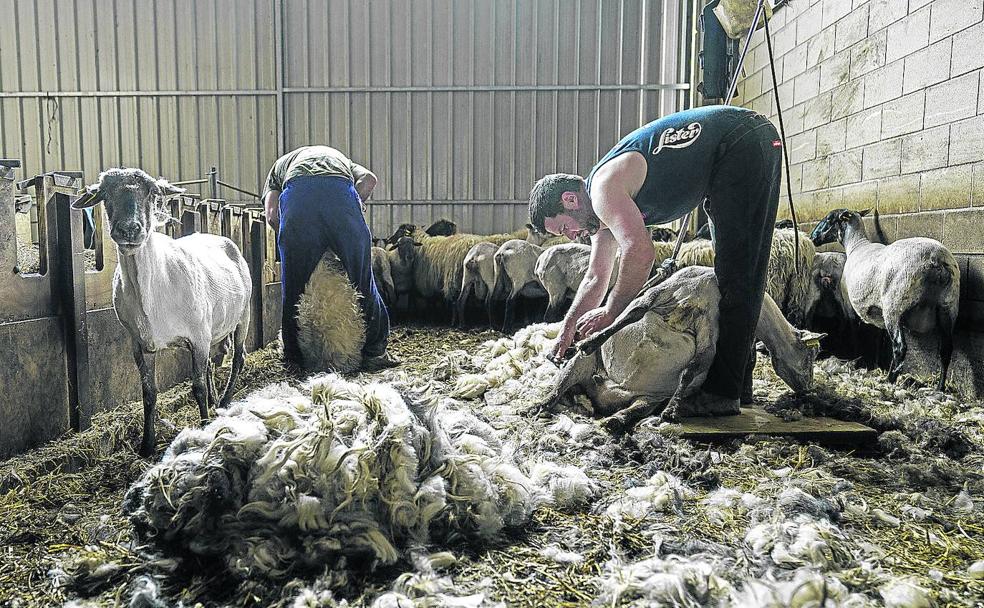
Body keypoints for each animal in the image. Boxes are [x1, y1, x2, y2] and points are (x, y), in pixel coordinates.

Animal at [71, 166, 252, 456]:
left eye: (152, 192)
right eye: (104, 194)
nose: (129, 229)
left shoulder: (198, 337)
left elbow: (197, 387)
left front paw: (204, 427)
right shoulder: (141, 344)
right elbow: (149, 392)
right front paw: (147, 444)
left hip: (242, 315)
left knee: (238, 358)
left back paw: (223, 401)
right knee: (212, 366)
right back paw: (216, 402)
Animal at [808, 209, 960, 390]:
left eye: (829, 218)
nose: (812, 237)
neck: (856, 245)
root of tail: (937, 260)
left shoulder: (849, 305)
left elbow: (853, 331)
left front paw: (856, 358)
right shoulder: (877, 312)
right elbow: (880, 338)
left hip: (894, 305)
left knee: (900, 347)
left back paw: (890, 380)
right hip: (948, 307)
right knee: (946, 349)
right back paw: (940, 387)